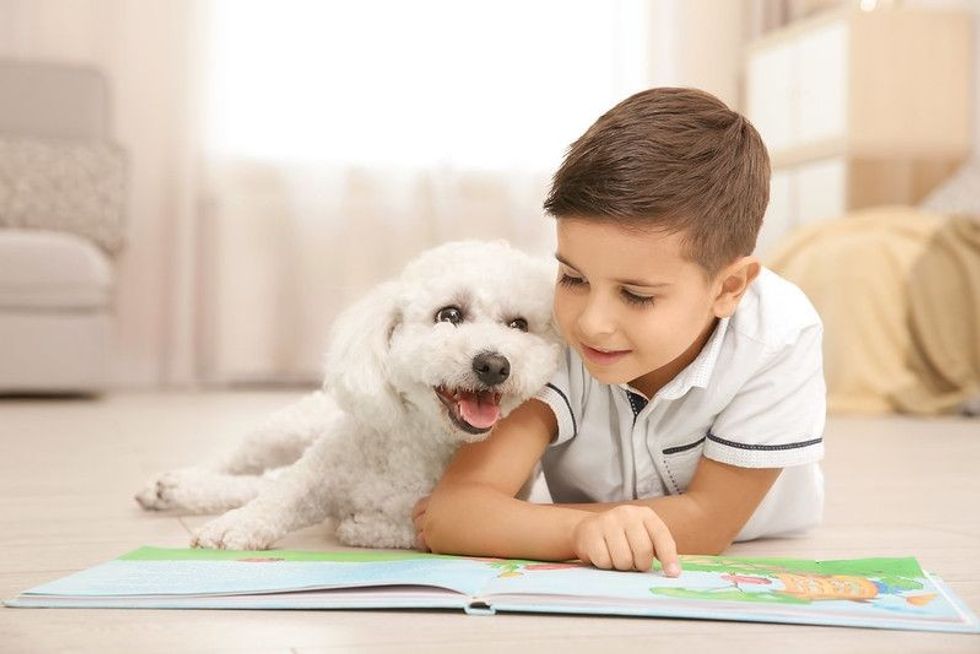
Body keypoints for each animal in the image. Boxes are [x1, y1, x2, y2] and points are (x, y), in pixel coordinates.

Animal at [134, 242, 560, 552]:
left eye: (519, 325)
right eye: (449, 314)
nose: (494, 364)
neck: (420, 444)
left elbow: (406, 527)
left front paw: (360, 526)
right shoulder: (323, 469)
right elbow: (283, 495)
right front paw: (235, 526)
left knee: (262, 480)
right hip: (283, 429)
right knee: (240, 464)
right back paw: (173, 485)